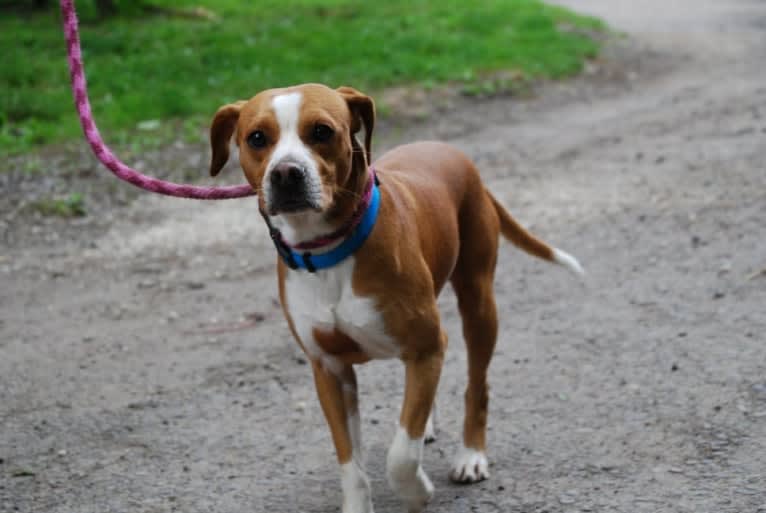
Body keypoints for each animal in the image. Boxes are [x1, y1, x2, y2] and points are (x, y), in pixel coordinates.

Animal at [210, 84, 584, 512]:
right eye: (257, 138)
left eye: (322, 131)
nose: (286, 172)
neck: (328, 250)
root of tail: (455, 155)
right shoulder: (330, 370)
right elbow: (350, 460)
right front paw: (359, 504)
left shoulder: (424, 347)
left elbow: (401, 456)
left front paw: (417, 490)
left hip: (478, 303)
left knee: (476, 385)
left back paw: (471, 455)